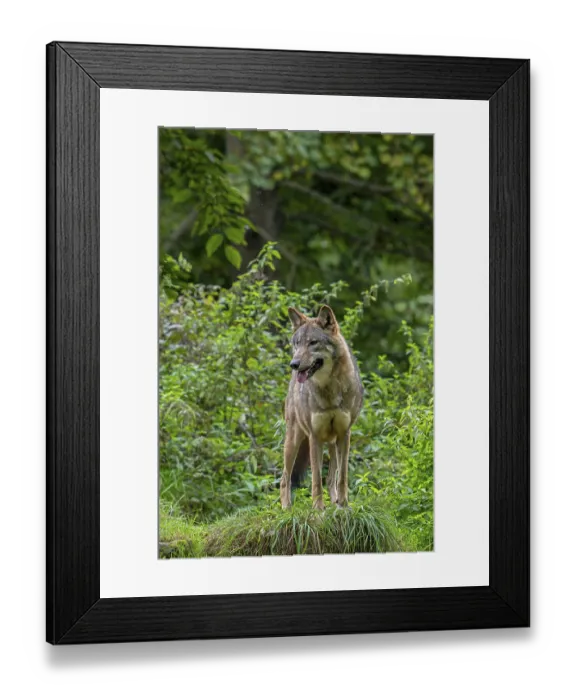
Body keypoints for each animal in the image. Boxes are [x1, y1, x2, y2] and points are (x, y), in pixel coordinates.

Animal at [280, 305, 364, 510]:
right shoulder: (314, 436)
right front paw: (318, 508)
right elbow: (316, 479)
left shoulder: (344, 434)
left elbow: (342, 476)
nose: (294, 364)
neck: (329, 389)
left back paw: (334, 501)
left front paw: (343, 504)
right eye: (297, 343)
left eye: (313, 343)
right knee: (284, 478)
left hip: (333, 442)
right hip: (293, 440)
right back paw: (286, 508)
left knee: (331, 477)